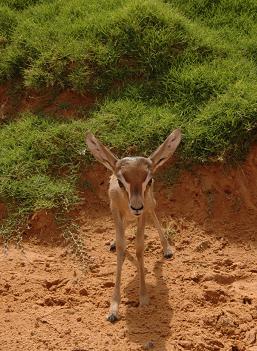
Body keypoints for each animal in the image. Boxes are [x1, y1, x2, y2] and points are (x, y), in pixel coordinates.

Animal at [85, 131, 181, 324]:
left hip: (150, 203)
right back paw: (114, 243)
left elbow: (139, 247)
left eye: (148, 180)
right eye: (121, 182)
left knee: (152, 213)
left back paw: (167, 249)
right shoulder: (115, 210)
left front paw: (143, 298)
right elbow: (122, 248)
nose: (136, 206)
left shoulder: (142, 214)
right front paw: (113, 309)